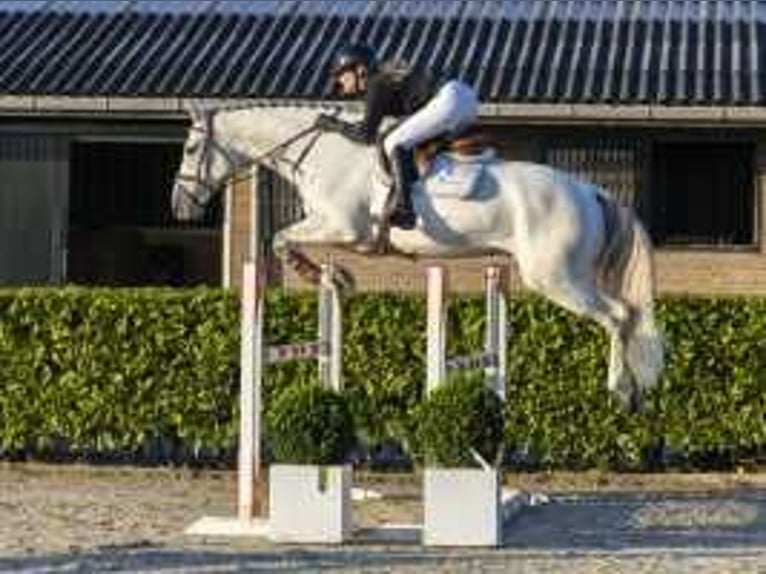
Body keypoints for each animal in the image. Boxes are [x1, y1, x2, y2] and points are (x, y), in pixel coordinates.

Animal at [174, 102, 664, 410]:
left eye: (192, 148)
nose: (180, 207)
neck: (319, 151)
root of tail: (590, 190)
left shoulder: (342, 227)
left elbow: (280, 239)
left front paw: (320, 275)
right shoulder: (335, 229)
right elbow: (287, 240)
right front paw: (334, 279)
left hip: (556, 278)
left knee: (619, 315)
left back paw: (621, 390)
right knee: (625, 316)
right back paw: (635, 393)